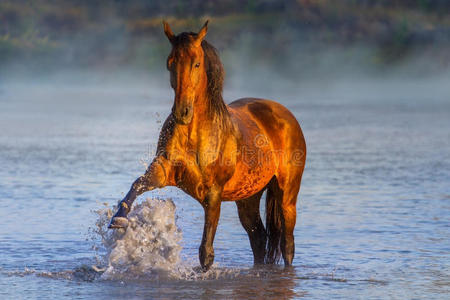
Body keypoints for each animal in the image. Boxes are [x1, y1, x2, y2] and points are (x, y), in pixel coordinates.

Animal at [108, 19, 306, 270]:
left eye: (197, 64)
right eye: (170, 63)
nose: (182, 112)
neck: (195, 135)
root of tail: (284, 114)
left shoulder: (213, 194)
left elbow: (206, 252)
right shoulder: (164, 170)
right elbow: (138, 183)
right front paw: (118, 218)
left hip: (286, 193)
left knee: (287, 243)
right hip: (248, 198)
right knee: (259, 239)